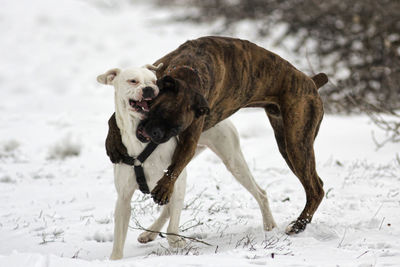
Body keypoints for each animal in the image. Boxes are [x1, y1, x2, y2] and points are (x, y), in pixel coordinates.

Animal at [97, 66, 278, 260]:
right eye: (133, 81)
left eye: (153, 81)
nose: (149, 89)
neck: (140, 139)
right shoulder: (124, 197)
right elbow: (119, 235)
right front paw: (115, 259)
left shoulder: (175, 179)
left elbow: (173, 222)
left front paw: (176, 241)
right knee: (167, 207)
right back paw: (149, 233)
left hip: (232, 161)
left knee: (260, 193)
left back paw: (269, 225)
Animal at [106, 36, 328, 234]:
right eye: (156, 110)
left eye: (177, 128)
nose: (155, 133)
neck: (188, 72)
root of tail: (310, 81)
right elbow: (112, 119)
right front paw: (113, 143)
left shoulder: (191, 135)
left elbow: (176, 166)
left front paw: (164, 187)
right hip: (286, 143)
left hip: (296, 143)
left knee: (316, 188)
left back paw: (299, 224)